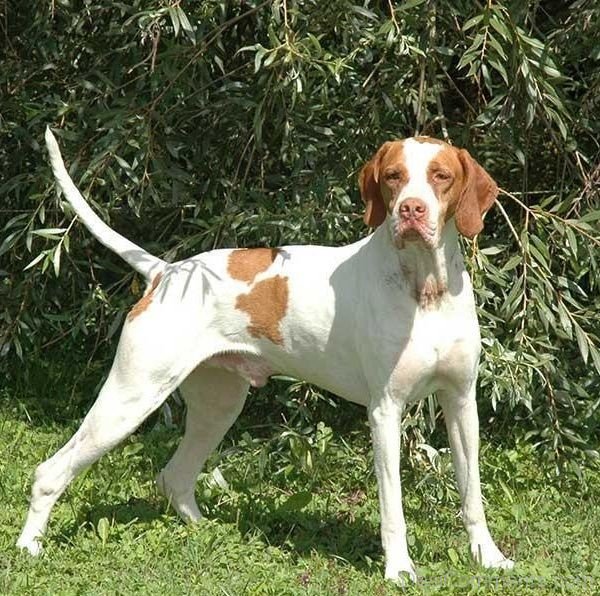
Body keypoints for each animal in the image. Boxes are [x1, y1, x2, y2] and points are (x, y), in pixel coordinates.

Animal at [18, 128, 516, 580]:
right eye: (393, 176)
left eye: (441, 176)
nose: (412, 209)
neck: (425, 291)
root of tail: (167, 272)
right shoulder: (385, 411)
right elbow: (392, 507)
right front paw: (399, 570)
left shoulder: (462, 402)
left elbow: (472, 495)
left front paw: (488, 557)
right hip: (129, 399)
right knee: (49, 471)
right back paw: (29, 547)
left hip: (218, 405)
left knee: (174, 477)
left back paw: (207, 530)